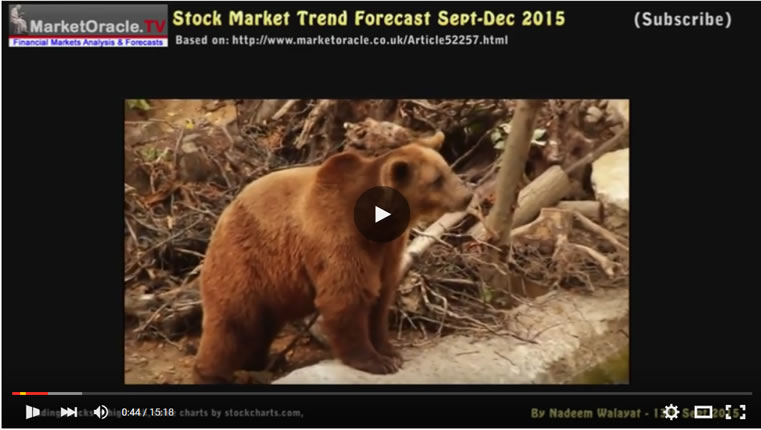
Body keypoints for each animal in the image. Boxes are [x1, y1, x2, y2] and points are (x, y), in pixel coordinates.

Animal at [192, 131, 474, 384]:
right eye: (436, 180)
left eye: (447, 169)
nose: (467, 195)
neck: (376, 226)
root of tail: (223, 216)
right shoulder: (339, 234)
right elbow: (346, 296)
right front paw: (377, 361)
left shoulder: (388, 250)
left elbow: (381, 297)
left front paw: (390, 351)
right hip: (245, 261)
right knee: (232, 321)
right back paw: (212, 374)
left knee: (261, 326)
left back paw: (260, 361)